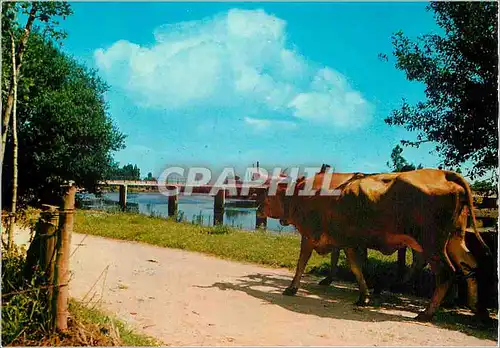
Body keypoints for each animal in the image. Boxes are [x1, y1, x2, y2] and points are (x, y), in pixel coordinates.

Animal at [264, 168, 490, 320]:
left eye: (268, 195)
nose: (259, 207)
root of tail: (443, 173)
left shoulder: (314, 236)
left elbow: (303, 263)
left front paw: (292, 288)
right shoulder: (348, 241)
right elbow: (356, 267)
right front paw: (364, 296)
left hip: (431, 245)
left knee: (446, 273)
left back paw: (427, 312)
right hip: (454, 239)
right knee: (470, 265)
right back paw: (476, 309)